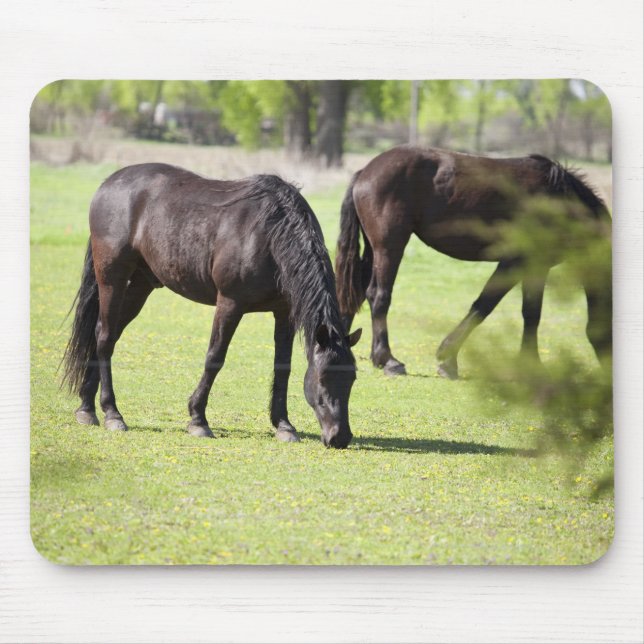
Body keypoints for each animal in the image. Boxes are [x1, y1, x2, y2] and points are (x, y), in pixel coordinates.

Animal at [62, 164, 362, 448]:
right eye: (322, 379)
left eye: (352, 379)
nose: (340, 437)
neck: (270, 233)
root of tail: (109, 184)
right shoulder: (230, 303)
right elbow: (215, 358)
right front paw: (198, 419)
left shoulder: (284, 312)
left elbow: (282, 367)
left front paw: (284, 425)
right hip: (112, 279)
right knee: (104, 337)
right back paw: (112, 413)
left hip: (140, 285)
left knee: (104, 334)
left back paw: (87, 407)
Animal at [335, 146, 611, 379]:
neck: (559, 200)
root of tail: (365, 172)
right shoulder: (513, 262)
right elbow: (484, 304)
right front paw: (447, 358)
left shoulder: (537, 265)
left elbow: (532, 313)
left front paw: (531, 364)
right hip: (389, 248)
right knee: (378, 296)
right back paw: (388, 360)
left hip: (374, 250)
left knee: (355, 292)